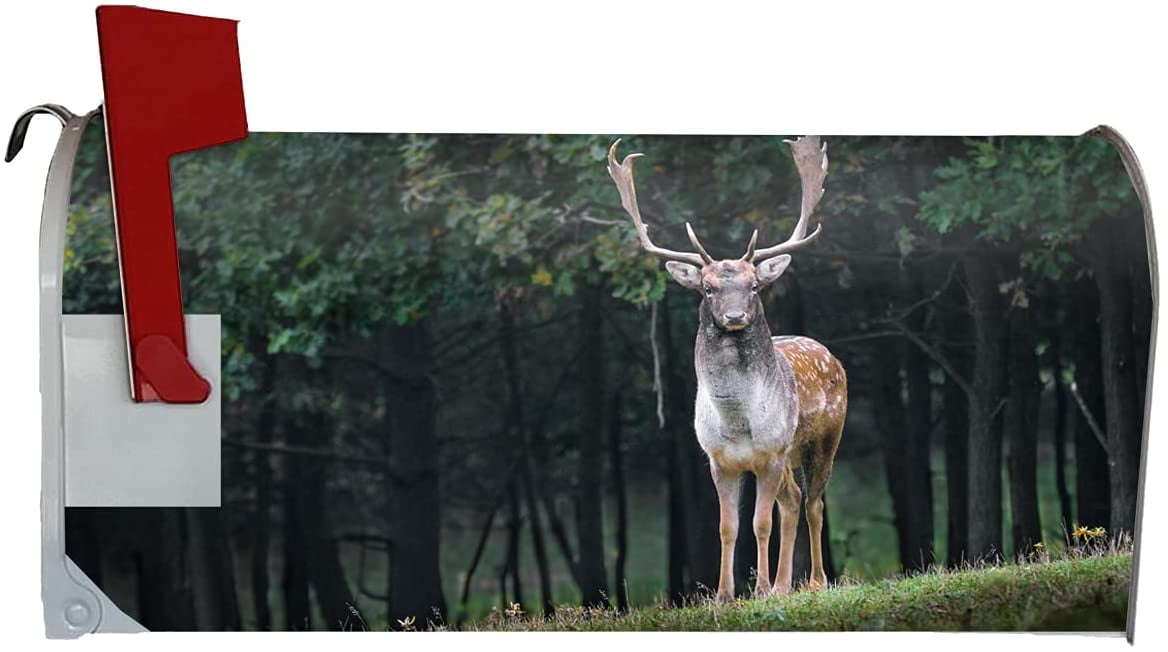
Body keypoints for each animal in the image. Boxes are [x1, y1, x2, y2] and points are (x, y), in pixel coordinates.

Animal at [607, 136, 847, 601]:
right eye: (707, 287)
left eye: (754, 286)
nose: (735, 316)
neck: (737, 422)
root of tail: (829, 353)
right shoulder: (718, 461)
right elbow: (728, 526)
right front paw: (723, 594)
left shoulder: (770, 453)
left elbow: (761, 523)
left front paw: (760, 589)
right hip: (789, 458)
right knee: (793, 500)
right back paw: (786, 584)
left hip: (824, 438)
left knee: (813, 503)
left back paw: (814, 581)